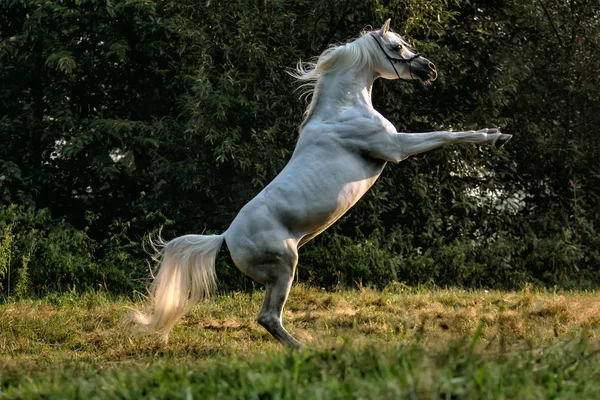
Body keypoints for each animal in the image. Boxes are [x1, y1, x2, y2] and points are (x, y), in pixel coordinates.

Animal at [134, 19, 512, 346]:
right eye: (396, 46)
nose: (429, 69)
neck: (342, 109)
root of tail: (225, 237)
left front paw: (496, 132)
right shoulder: (396, 148)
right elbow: (446, 134)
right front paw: (496, 136)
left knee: (268, 318)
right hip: (284, 268)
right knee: (268, 317)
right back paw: (307, 350)